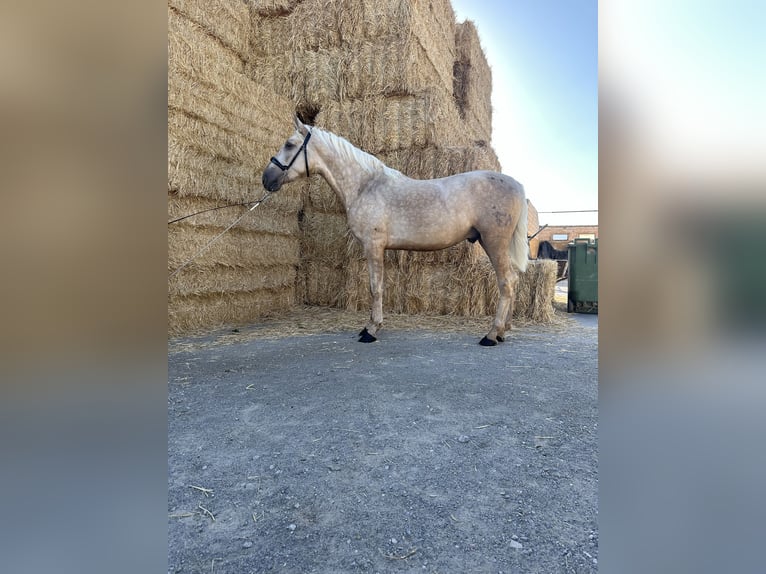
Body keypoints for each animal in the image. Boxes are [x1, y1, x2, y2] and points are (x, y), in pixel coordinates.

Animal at [264, 117, 528, 346]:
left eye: (289, 144)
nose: (266, 179)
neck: (365, 185)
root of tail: (517, 184)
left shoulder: (373, 245)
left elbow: (375, 287)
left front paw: (371, 330)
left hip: (494, 243)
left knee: (507, 283)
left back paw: (491, 335)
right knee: (513, 281)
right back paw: (503, 331)